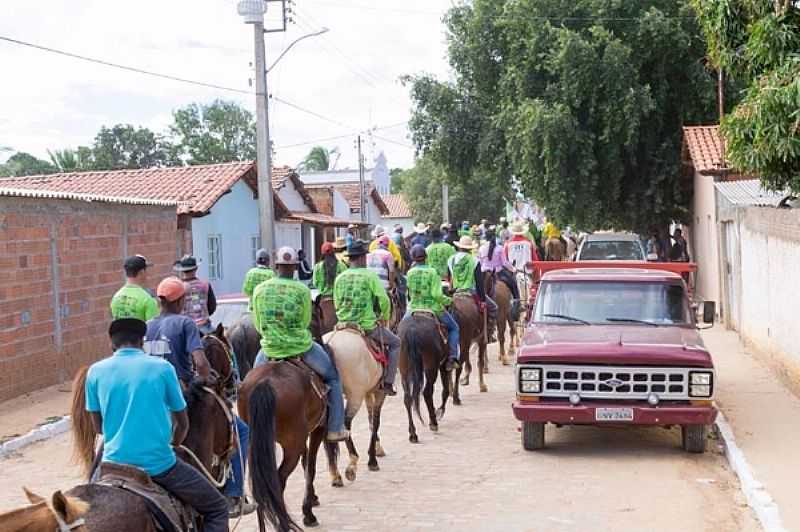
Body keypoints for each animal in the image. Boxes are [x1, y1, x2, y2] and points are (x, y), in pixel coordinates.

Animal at [238, 360, 324, 528]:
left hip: (254, 445)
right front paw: (308, 513)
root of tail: (265, 383)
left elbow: (306, 463)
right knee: (278, 480)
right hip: (292, 446)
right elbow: (310, 468)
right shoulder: (319, 428)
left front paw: (312, 499)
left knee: (259, 485)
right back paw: (283, 524)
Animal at [324, 330, 390, 488]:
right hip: (355, 396)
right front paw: (372, 460)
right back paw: (352, 465)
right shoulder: (379, 393)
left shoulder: (368, 392)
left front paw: (377, 449)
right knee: (345, 424)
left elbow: (371, 421)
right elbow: (375, 422)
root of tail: (329, 343)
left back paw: (335, 475)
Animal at [398, 314, 450, 442]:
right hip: (431, 367)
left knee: (407, 398)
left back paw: (413, 434)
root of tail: (411, 330)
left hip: (403, 369)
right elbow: (446, 390)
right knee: (427, 392)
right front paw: (440, 411)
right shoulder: (443, 364)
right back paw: (433, 423)